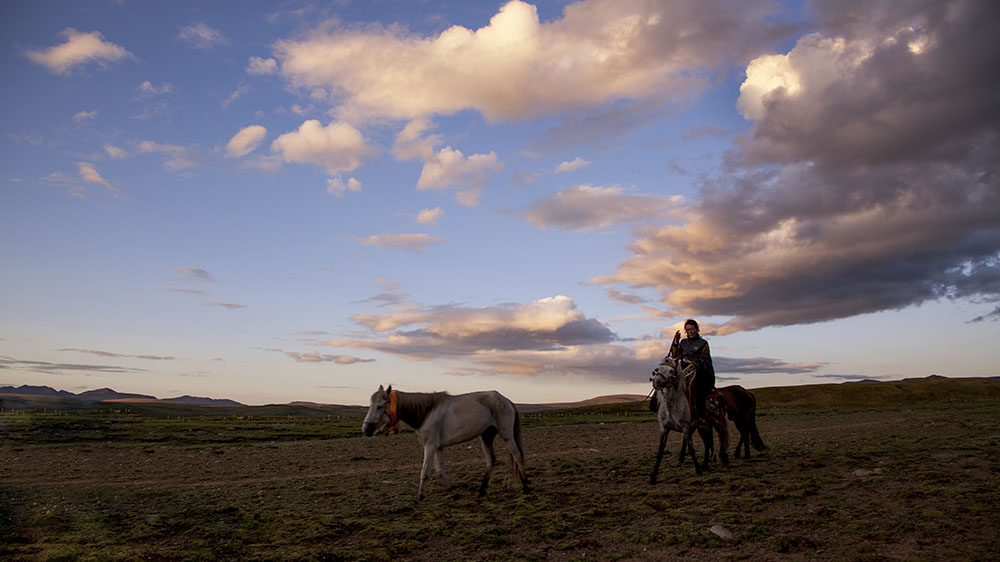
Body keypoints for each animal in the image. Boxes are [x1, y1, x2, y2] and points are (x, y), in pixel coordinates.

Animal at [362, 384, 532, 498]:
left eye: (379, 406)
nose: (366, 430)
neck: (426, 413)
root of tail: (506, 400)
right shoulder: (438, 447)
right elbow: (439, 470)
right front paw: (453, 493)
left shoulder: (430, 446)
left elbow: (424, 471)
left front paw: (419, 497)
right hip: (486, 436)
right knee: (491, 460)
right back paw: (482, 490)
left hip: (506, 435)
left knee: (518, 456)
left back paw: (525, 487)